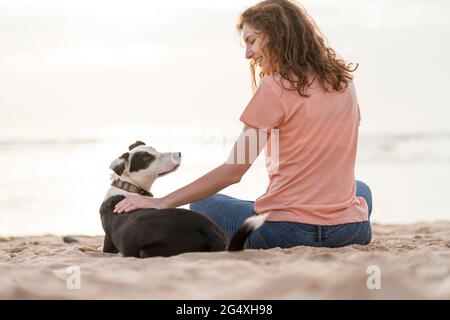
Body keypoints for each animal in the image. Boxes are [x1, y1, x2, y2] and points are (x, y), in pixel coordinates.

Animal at [98, 141, 266, 258]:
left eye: (154, 150)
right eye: (147, 157)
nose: (178, 153)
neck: (128, 186)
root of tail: (206, 229)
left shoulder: (108, 242)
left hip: (146, 252)